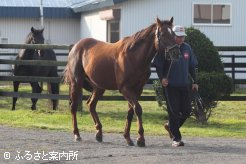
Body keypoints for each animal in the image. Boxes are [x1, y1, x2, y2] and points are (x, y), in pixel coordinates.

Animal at [63, 17, 175, 147]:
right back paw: (77, 134)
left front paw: (128, 137)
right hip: (76, 82)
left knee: (91, 105)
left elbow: (131, 111)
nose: (176, 52)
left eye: (174, 34)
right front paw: (140, 139)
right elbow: (138, 109)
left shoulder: (138, 89)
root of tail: (76, 46)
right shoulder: (125, 89)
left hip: (99, 87)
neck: (134, 56)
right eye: (163, 34)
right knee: (74, 106)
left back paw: (99, 133)